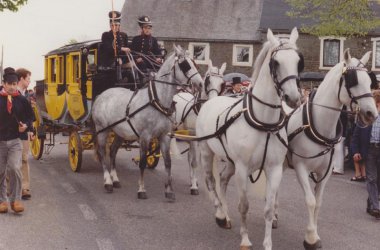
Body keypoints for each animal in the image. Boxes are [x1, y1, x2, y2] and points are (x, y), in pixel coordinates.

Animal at [91, 45, 203, 200]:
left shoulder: (164, 136)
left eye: (194, 63)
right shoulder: (145, 136)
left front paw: (169, 191)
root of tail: (101, 95)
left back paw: (115, 179)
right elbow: (143, 163)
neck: (156, 101)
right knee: (102, 153)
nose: (200, 83)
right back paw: (107, 181)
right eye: (185, 65)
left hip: (119, 132)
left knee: (112, 151)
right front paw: (141, 190)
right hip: (102, 129)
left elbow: (168, 162)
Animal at [174, 59, 227, 194]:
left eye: (222, 83)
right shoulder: (194, 138)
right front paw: (194, 187)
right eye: (208, 80)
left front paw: (195, 182)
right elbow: (194, 162)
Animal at [196, 27, 302, 250]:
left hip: (230, 161)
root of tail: (211, 101)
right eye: (275, 62)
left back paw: (226, 215)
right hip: (206, 150)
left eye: (298, 61)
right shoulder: (243, 167)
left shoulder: (274, 169)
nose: (293, 98)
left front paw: (268, 243)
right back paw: (220, 214)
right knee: (211, 181)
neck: (264, 121)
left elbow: (268, 209)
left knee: (223, 180)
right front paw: (245, 239)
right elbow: (244, 205)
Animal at [280, 48, 376, 248]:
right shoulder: (301, 167)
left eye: (370, 81)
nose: (372, 114)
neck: (317, 125)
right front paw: (310, 238)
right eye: (353, 80)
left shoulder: (325, 172)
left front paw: (315, 234)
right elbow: (310, 201)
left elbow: (318, 202)